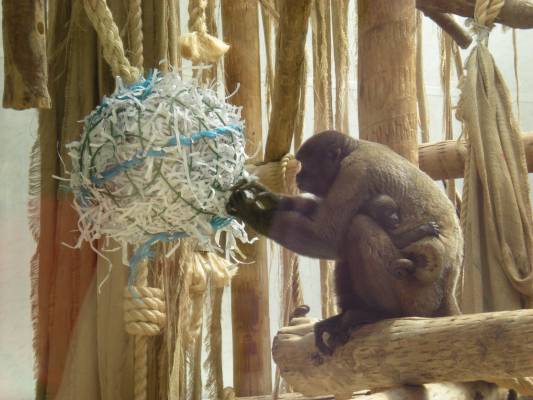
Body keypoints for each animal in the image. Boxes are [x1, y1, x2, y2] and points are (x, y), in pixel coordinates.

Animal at [225, 130, 462, 354]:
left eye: (306, 165)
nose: (299, 175)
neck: (352, 148)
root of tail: (447, 292)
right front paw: (268, 197)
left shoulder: (354, 174)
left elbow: (327, 237)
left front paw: (251, 211)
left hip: (417, 295)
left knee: (357, 226)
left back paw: (384, 313)